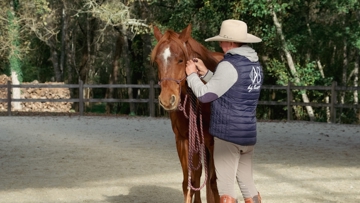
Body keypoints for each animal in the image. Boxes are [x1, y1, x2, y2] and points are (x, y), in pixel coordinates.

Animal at [150, 24, 224, 203]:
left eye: (181, 60)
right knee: (197, 175)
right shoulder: (183, 140)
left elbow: (214, 183)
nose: (167, 99)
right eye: (157, 62)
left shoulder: (213, 142)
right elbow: (188, 182)